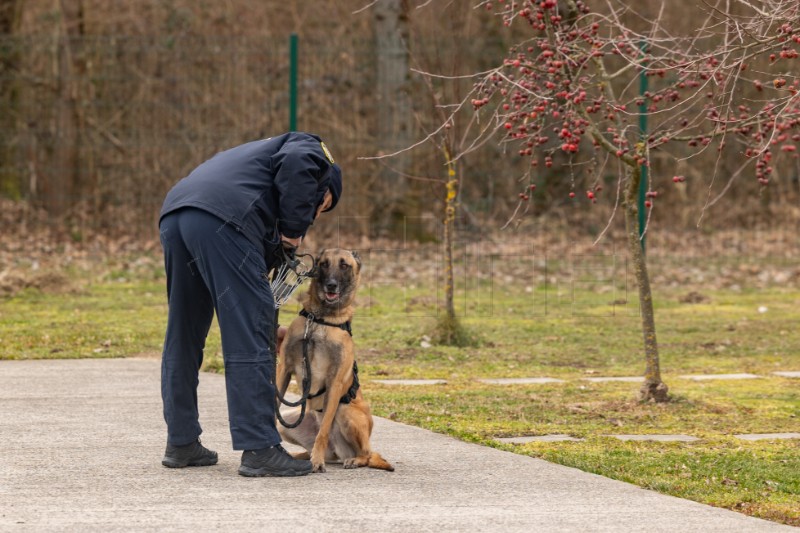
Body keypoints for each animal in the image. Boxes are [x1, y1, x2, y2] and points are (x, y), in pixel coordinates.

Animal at [276, 247, 396, 472]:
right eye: (324, 264)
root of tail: (339, 453)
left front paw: (316, 461)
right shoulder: (284, 369)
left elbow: (322, 431)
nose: (330, 284)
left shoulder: (335, 383)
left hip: (346, 412)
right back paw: (298, 456)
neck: (321, 320)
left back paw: (352, 460)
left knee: (367, 454)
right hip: (289, 421)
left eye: (344, 265)